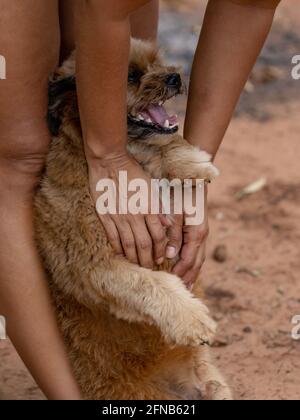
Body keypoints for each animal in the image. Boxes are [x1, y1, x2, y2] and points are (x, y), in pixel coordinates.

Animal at [35, 38, 232, 400]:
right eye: (129, 75)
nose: (174, 77)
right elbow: (154, 284)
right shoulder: (95, 267)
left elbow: (165, 145)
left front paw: (192, 161)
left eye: (157, 62)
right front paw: (192, 318)